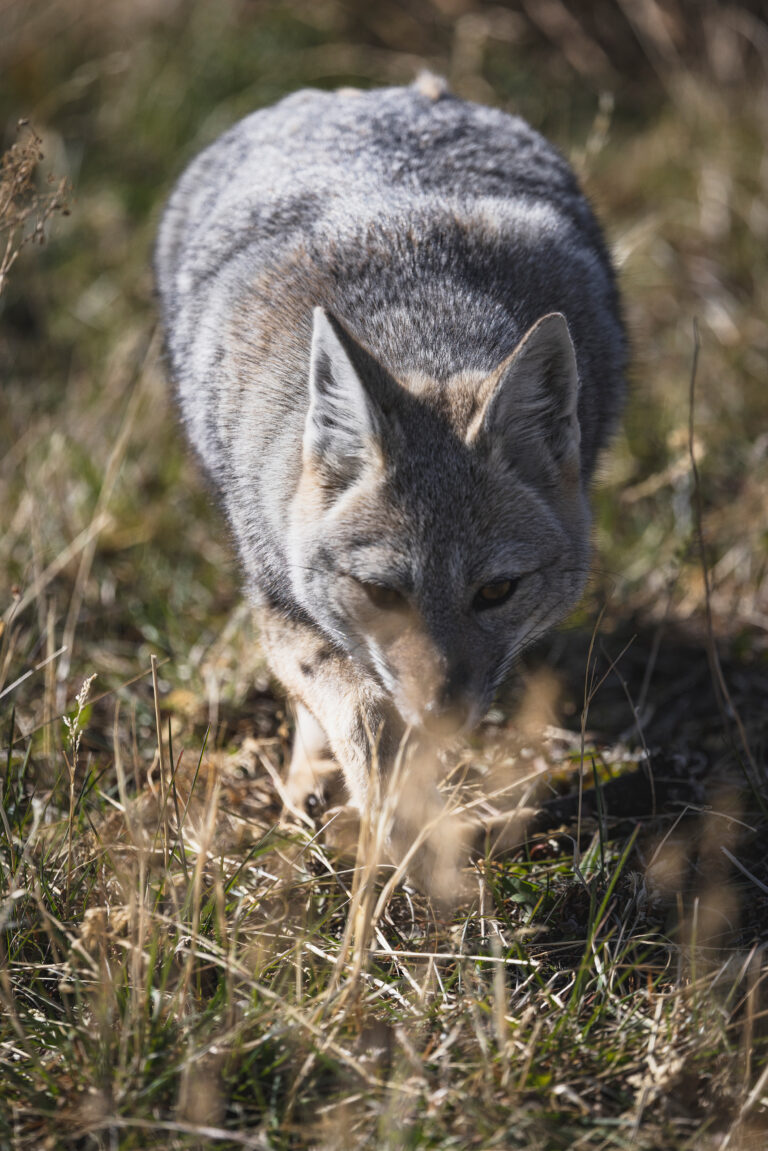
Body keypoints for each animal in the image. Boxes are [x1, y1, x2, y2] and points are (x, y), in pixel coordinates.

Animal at [155, 75, 625, 862]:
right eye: (382, 590)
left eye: (496, 591)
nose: (441, 712)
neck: (420, 322)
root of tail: (386, 92)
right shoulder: (281, 598)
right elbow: (363, 718)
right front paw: (385, 825)